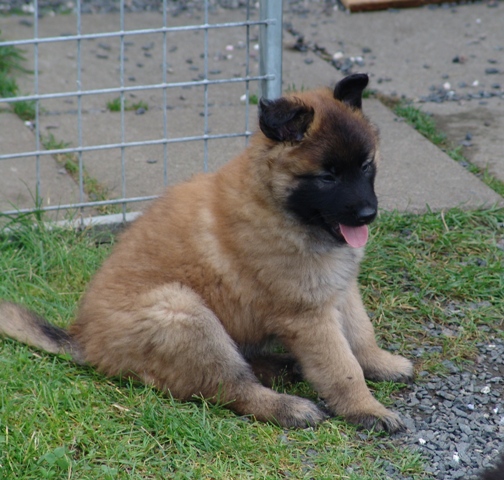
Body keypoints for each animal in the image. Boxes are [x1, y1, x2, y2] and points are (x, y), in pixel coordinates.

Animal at [0, 74, 414, 432]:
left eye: (366, 165)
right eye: (327, 177)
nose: (368, 214)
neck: (277, 206)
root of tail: (85, 341)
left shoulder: (340, 288)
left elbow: (360, 334)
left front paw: (382, 364)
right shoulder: (308, 315)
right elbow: (342, 367)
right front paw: (366, 409)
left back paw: (285, 367)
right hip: (185, 315)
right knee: (232, 387)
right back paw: (288, 406)